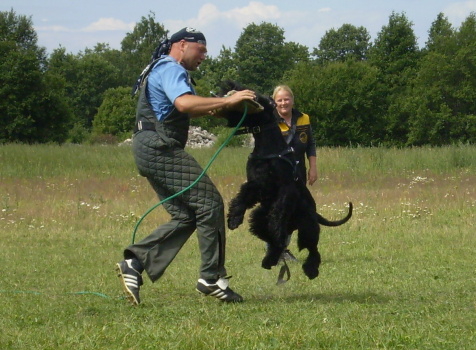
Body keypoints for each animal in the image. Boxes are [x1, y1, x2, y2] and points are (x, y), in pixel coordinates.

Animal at [218, 81, 352, 278]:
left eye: (258, 96)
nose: (231, 88)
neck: (268, 146)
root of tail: (316, 213)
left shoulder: (285, 187)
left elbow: (278, 212)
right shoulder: (255, 184)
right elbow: (241, 199)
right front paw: (234, 219)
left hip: (307, 228)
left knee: (311, 249)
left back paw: (310, 270)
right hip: (258, 219)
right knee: (275, 243)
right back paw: (269, 260)